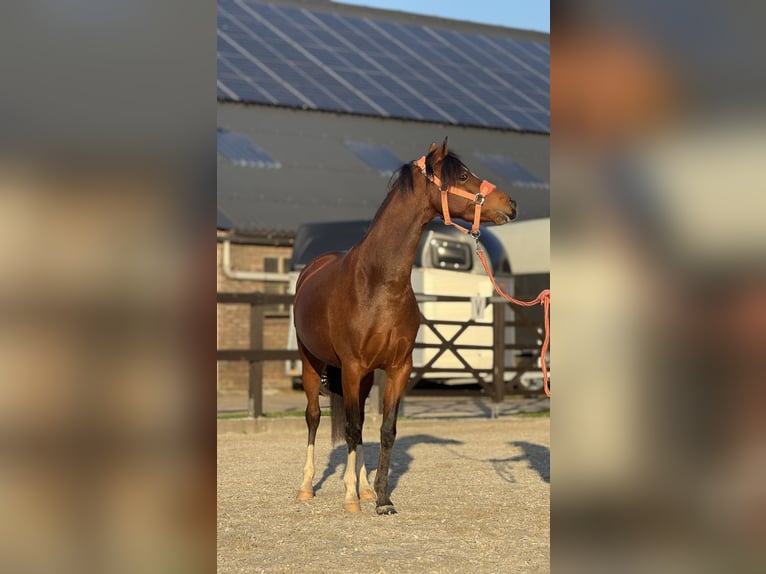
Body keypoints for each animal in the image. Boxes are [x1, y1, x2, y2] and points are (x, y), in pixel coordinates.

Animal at [292, 140, 516, 516]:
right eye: (463, 176)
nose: (510, 204)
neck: (379, 282)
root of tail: (312, 269)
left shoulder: (397, 368)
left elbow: (385, 430)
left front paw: (381, 498)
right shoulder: (351, 367)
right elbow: (351, 429)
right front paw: (350, 497)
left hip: (366, 377)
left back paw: (365, 488)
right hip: (312, 362)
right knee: (313, 418)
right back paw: (307, 487)